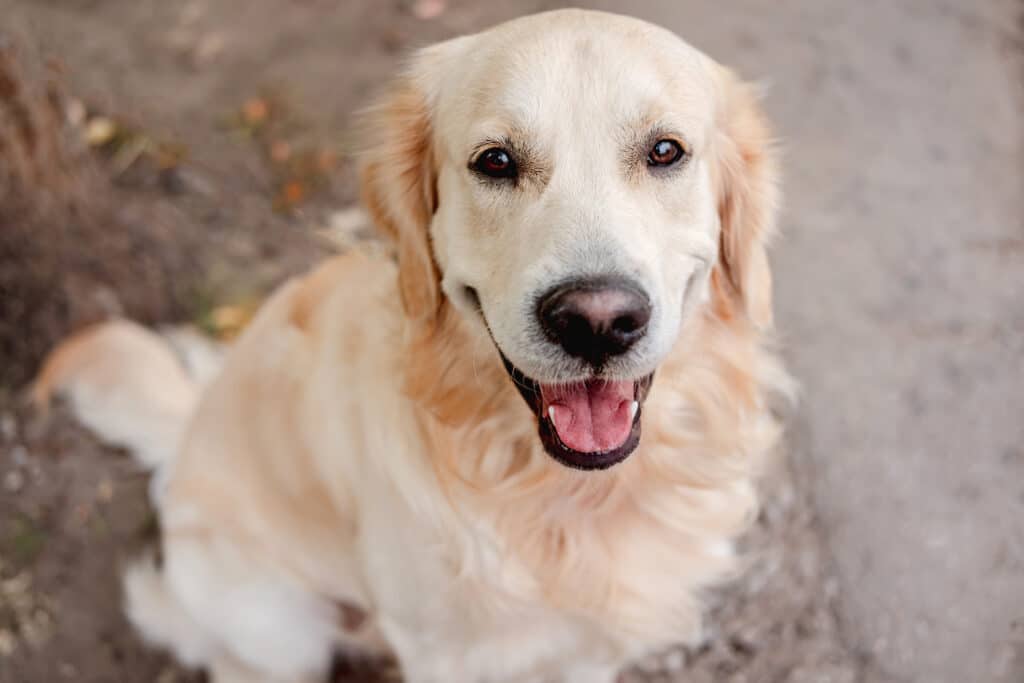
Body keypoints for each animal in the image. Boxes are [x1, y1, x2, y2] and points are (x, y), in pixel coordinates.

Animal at [32, 9, 786, 683]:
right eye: (496, 161)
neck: (564, 495)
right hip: (279, 631)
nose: (595, 320)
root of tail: (188, 432)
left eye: (665, 151)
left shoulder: (587, 647)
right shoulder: (442, 652)